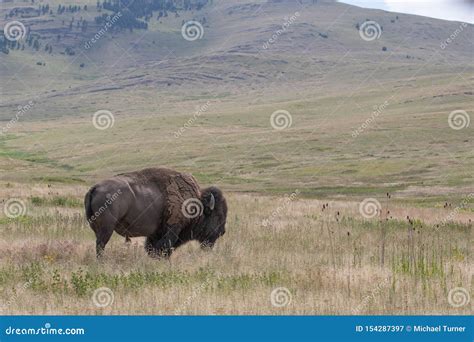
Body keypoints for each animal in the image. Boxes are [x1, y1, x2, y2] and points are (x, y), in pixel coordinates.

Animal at [84, 167, 228, 258]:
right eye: (218, 215)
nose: (222, 232)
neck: (196, 204)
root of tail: (94, 188)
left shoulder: (155, 233)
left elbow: (151, 248)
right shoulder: (172, 230)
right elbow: (164, 247)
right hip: (106, 229)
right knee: (100, 245)